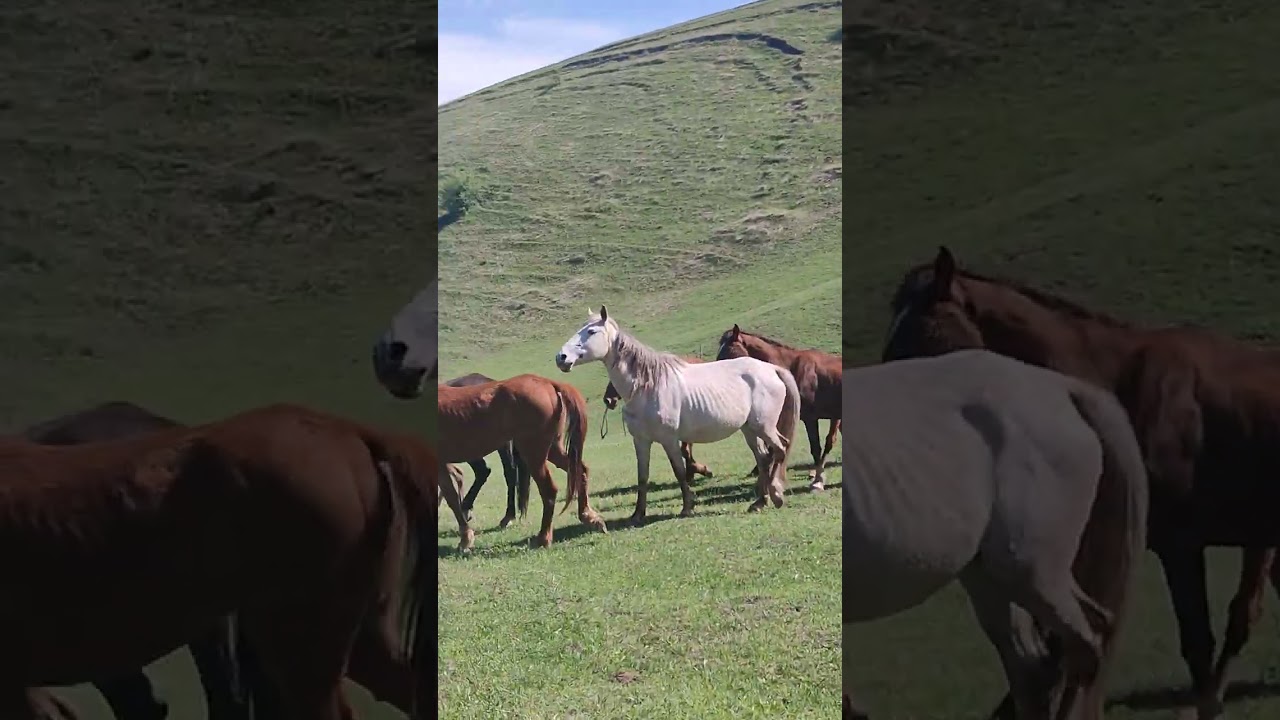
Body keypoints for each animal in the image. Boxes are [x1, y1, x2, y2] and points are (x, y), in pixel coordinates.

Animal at [555, 306, 799, 521]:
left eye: (591, 332)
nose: (561, 357)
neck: (648, 386)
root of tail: (772, 369)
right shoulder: (641, 441)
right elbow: (642, 476)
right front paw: (637, 514)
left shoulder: (669, 439)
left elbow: (679, 471)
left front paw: (687, 507)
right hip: (750, 429)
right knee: (764, 457)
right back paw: (760, 502)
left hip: (763, 426)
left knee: (780, 448)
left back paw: (776, 496)